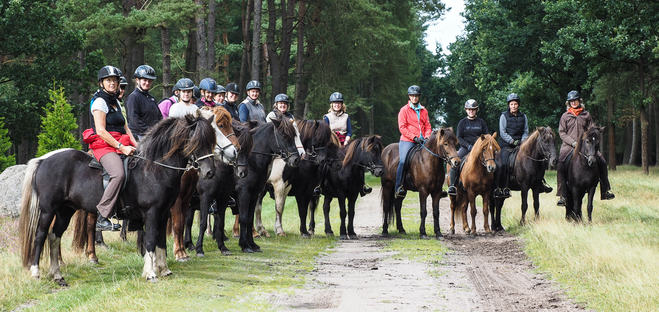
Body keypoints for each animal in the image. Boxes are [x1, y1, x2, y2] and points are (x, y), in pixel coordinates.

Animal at [18, 113, 217, 284]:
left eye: (211, 141)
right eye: (195, 141)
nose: (210, 172)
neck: (154, 169)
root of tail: (43, 160)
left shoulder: (163, 214)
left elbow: (160, 242)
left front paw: (164, 269)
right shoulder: (152, 213)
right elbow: (151, 241)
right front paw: (150, 273)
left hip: (65, 211)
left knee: (54, 236)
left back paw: (57, 275)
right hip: (48, 210)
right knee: (40, 236)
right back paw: (36, 272)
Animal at [235, 117, 302, 254]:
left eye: (295, 135)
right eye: (284, 136)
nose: (297, 159)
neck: (251, 161)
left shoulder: (257, 192)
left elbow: (250, 217)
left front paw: (253, 244)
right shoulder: (246, 192)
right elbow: (245, 218)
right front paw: (245, 245)